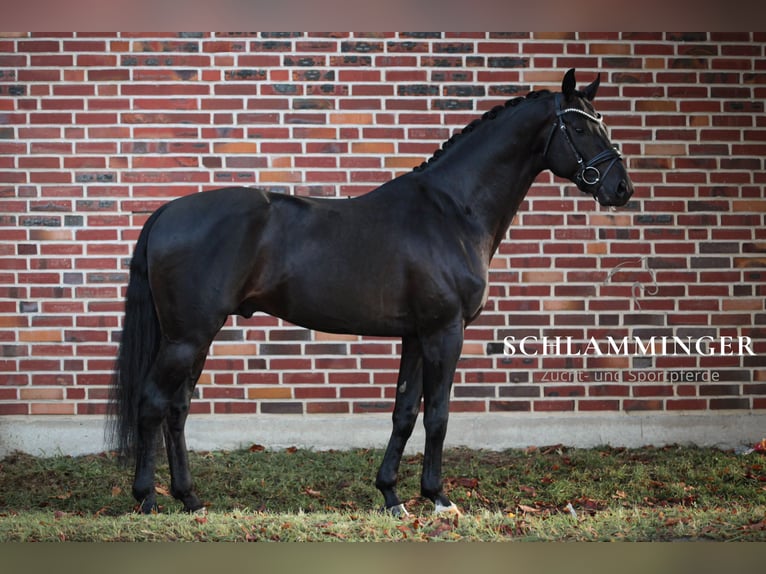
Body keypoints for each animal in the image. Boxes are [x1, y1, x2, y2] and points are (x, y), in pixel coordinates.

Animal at [108, 68, 636, 516]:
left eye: (601, 122)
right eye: (581, 128)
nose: (621, 188)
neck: (452, 211)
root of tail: (167, 212)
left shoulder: (417, 336)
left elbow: (404, 412)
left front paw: (391, 495)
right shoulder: (445, 333)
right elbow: (438, 415)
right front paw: (438, 497)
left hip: (195, 338)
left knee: (177, 409)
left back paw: (189, 498)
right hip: (187, 337)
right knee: (152, 404)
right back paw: (147, 499)